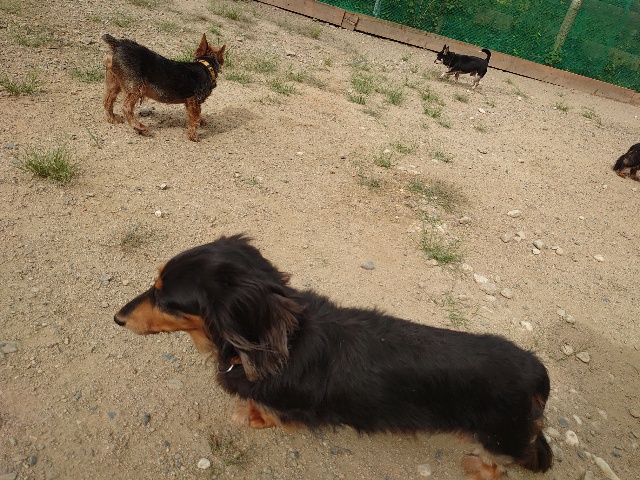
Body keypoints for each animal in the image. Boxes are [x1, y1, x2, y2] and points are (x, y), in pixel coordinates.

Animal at [114, 234, 552, 480]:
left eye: (165, 299)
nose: (117, 318)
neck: (278, 341)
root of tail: (536, 372)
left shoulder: (287, 407)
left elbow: (268, 414)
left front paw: (251, 416)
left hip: (500, 435)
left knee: (506, 461)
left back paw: (478, 467)